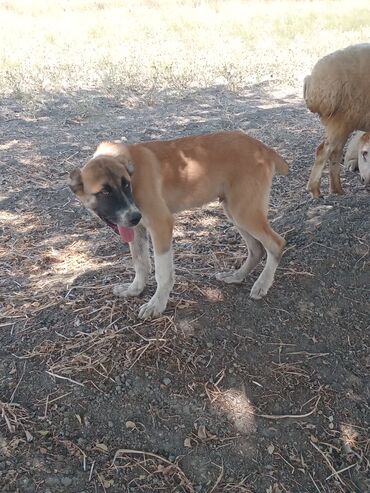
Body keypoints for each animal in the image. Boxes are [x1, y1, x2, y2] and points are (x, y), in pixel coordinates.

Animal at [69, 129, 290, 318]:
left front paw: (157, 304)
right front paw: (134, 290)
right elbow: (140, 264)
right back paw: (237, 276)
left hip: (244, 211)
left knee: (277, 244)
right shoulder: (137, 229)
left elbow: (162, 272)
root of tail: (263, 148)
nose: (134, 217)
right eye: (104, 192)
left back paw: (262, 284)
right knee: (256, 249)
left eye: (126, 185)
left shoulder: (161, 224)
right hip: (234, 211)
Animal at [304, 42, 370, 196]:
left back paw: (336, 189)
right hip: (340, 120)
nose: (367, 182)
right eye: (364, 154)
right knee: (324, 151)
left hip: (345, 123)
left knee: (335, 152)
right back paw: (315, 190)